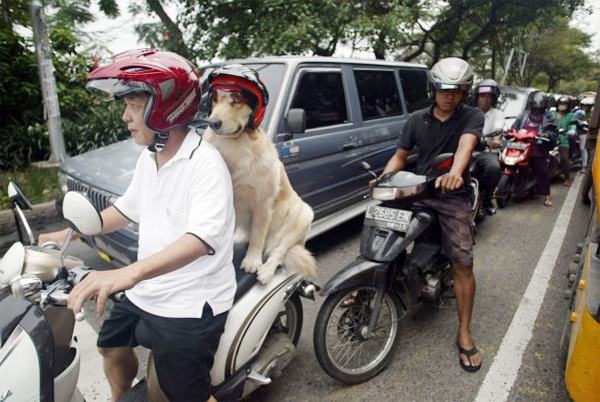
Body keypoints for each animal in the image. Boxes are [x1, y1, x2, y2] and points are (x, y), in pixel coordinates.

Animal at [204, 63, 316, 282]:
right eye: (215, 98)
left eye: (236, 99)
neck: (235, 144)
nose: (213, 123)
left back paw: (266, 270)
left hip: (303, 216)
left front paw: (252, 261)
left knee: (279, 250)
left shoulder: (262, 203)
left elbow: (258, 235)